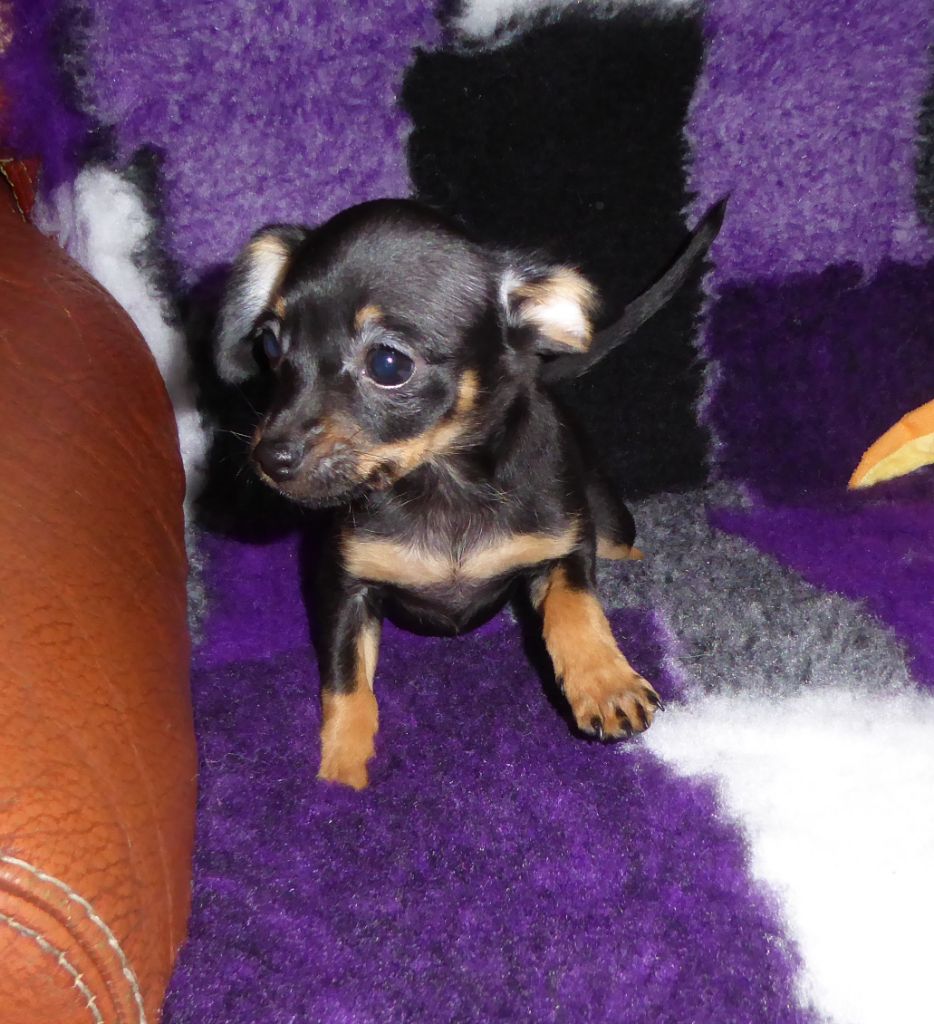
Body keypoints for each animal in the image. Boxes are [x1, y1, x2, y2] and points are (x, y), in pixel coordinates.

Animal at [215, 198, 723, 789]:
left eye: (389, 364)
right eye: (272, 345)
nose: (269, 458)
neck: (444, 481)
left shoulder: (564, 547)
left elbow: (574, 606)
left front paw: (604, 682)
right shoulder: (347, 588)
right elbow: (346, 685)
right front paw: (341, 775)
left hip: (609, 521)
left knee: (622, 545)